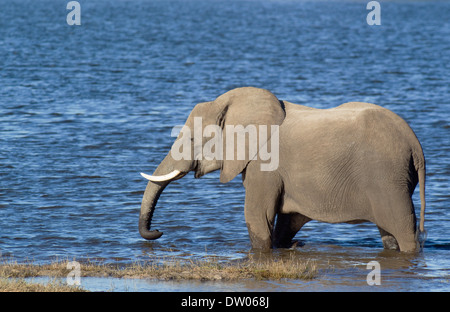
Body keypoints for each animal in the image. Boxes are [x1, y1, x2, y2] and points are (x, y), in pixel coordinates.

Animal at [140, 86, 426, 252]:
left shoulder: (264, 165)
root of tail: (416, 145)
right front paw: (290, 246)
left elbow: (257, 217)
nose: (158, 232)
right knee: (390, 236)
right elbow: (287, 221)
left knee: (405, 232)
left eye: (190, 140)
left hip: (387, 180)